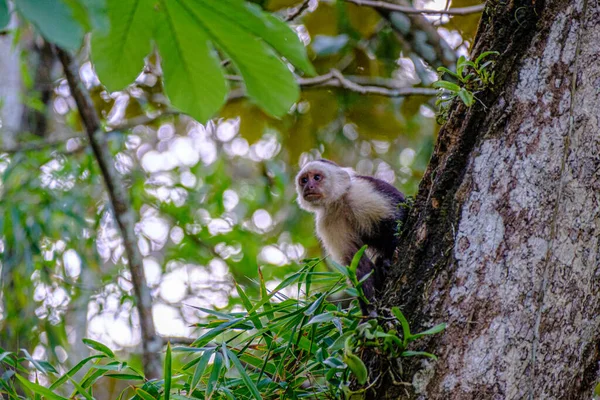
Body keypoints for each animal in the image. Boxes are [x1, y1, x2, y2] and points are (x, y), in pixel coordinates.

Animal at [296, 159, 408, 310]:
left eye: (317, 177)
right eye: (304, 180)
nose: (309, 186)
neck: (339, 201)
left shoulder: (361, 192)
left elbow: (398, 217)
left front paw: (387, 259)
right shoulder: (327, 222)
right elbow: (356, 260)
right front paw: (369, 307)